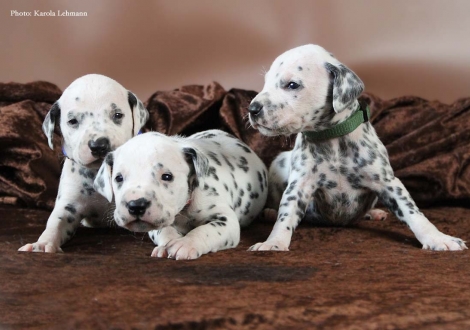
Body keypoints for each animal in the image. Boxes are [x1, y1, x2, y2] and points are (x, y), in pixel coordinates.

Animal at [18, 73, 149, 253]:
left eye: (117, 115)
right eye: (72, 121)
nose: (99, 145)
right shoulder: (68, 207)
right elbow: (54, 225)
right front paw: (42, 244)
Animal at [92, 130, 268, 260]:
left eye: (167, 176)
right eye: (118, 178)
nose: (136, 205)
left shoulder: (226, 220)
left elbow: (206, 230)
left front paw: (186, 243)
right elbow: (164, 231)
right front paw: (167, 244)